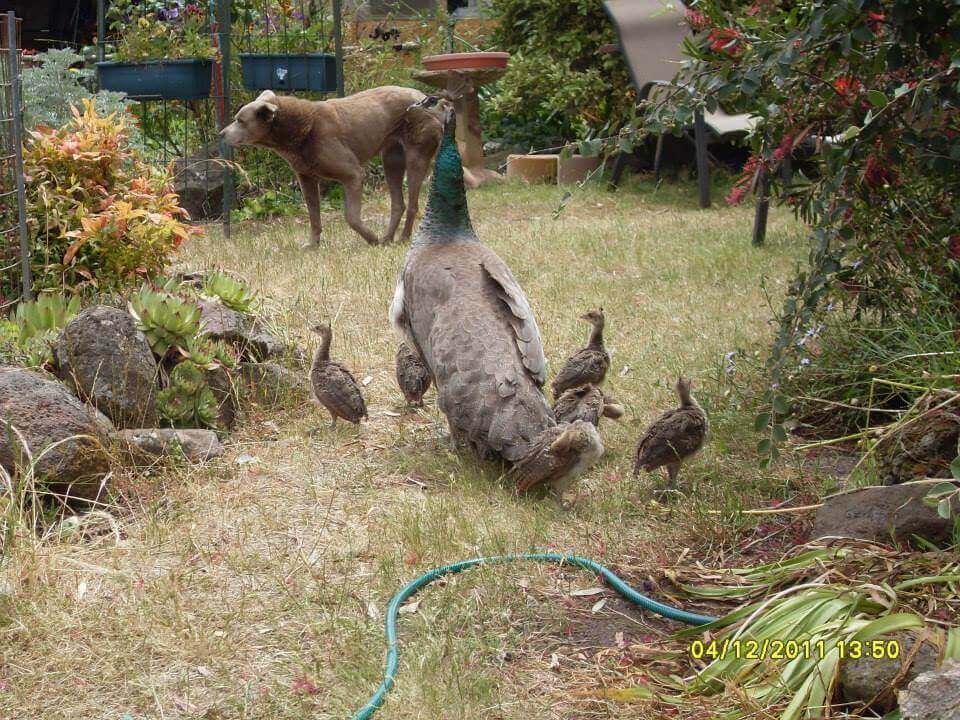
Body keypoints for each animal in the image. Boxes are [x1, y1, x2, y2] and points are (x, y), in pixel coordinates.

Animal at [221, 85, 442, 245]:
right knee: (399, 204)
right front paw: (312, 246)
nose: (221, 134)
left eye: (241, 121)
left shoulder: (353, 174)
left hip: (416, 156)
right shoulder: (306, 179)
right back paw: (388, 239)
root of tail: (426, 99)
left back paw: (402, 239)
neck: (303, 129)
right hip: (392, 159)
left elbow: (351, 217)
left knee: (412, 204)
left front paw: (371, 239)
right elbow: (314, 217)